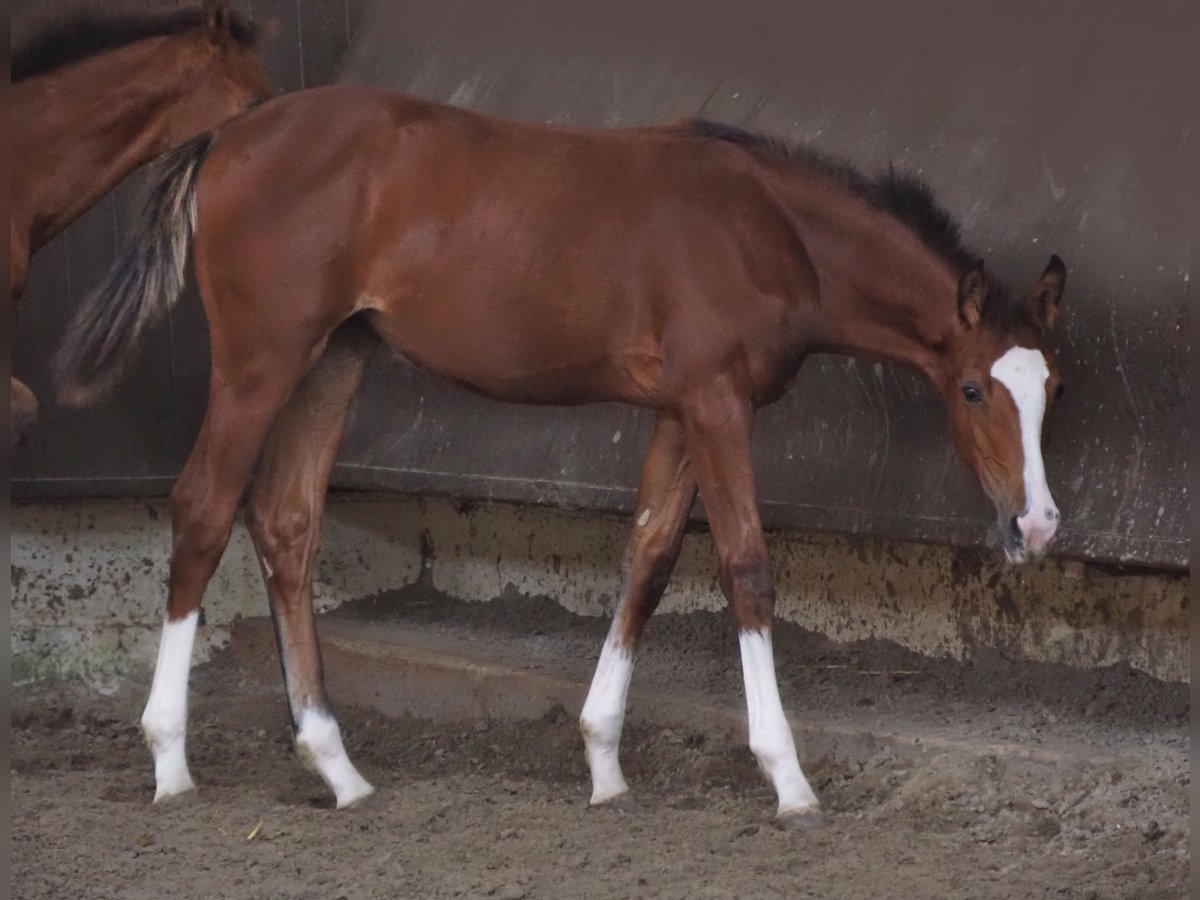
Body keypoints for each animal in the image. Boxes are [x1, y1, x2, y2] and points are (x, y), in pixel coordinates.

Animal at [56, 84, 1070, 830]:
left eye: (1052, 386)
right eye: (973, 389)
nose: (1037, 525)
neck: (770, 228)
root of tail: (228, 132)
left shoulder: (681, 410)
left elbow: (649, 557)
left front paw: (603, 761)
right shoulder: (716, 403)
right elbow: (746, 566)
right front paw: (788, 780)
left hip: (335, 355)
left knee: (286, 520)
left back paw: (338, 768)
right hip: (261, 358)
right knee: (203, 504)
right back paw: (170, 760)